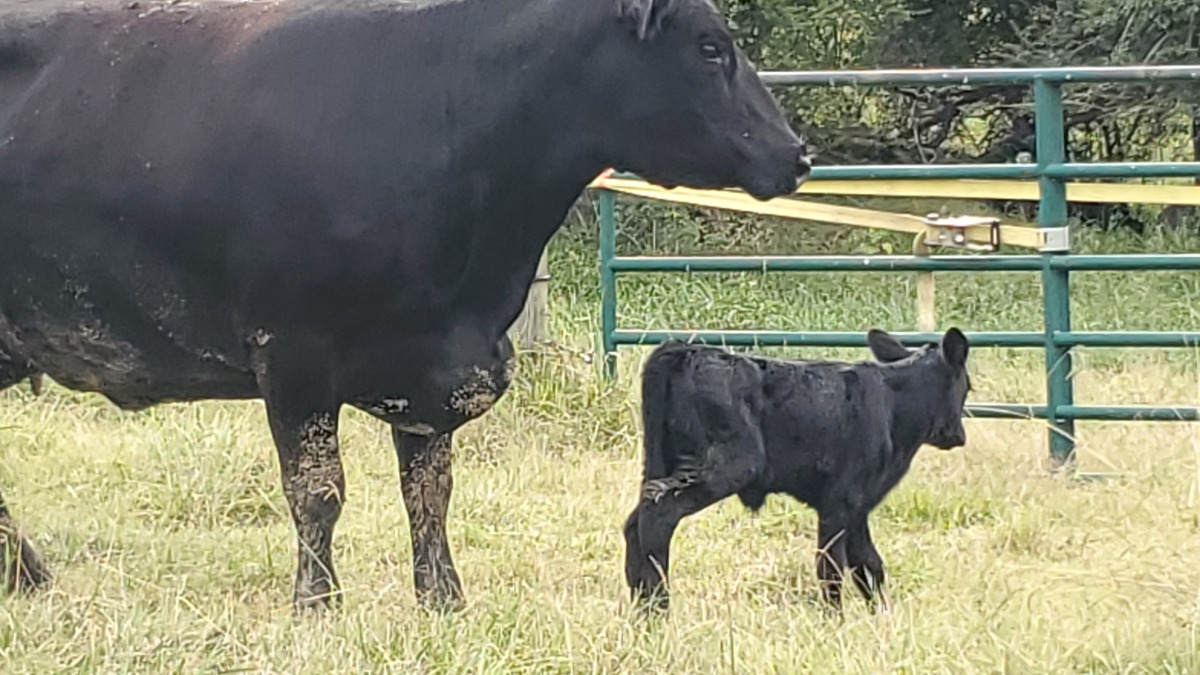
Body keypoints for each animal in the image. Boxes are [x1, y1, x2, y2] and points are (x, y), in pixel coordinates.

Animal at [0, 0, 811, 611]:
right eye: (709, 47)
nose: (798, 155)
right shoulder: (291, 350)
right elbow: (318, 491)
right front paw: (317, 604)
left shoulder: (430, 367)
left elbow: (430, 492)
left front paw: (443, 600)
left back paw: (28, 576)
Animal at [623, 328, 972, 612]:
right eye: (966, 386)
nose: (958, 435)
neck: (892, 402)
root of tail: (687, 350)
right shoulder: (840, 501)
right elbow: (831, 567)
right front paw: (835, 622)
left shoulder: (858, 507)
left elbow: (869, 566)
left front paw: (881, 619)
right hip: (728, 466)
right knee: (659, 515)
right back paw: (658, 609)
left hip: (662, 463)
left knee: (634, 523)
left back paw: (640, 610)